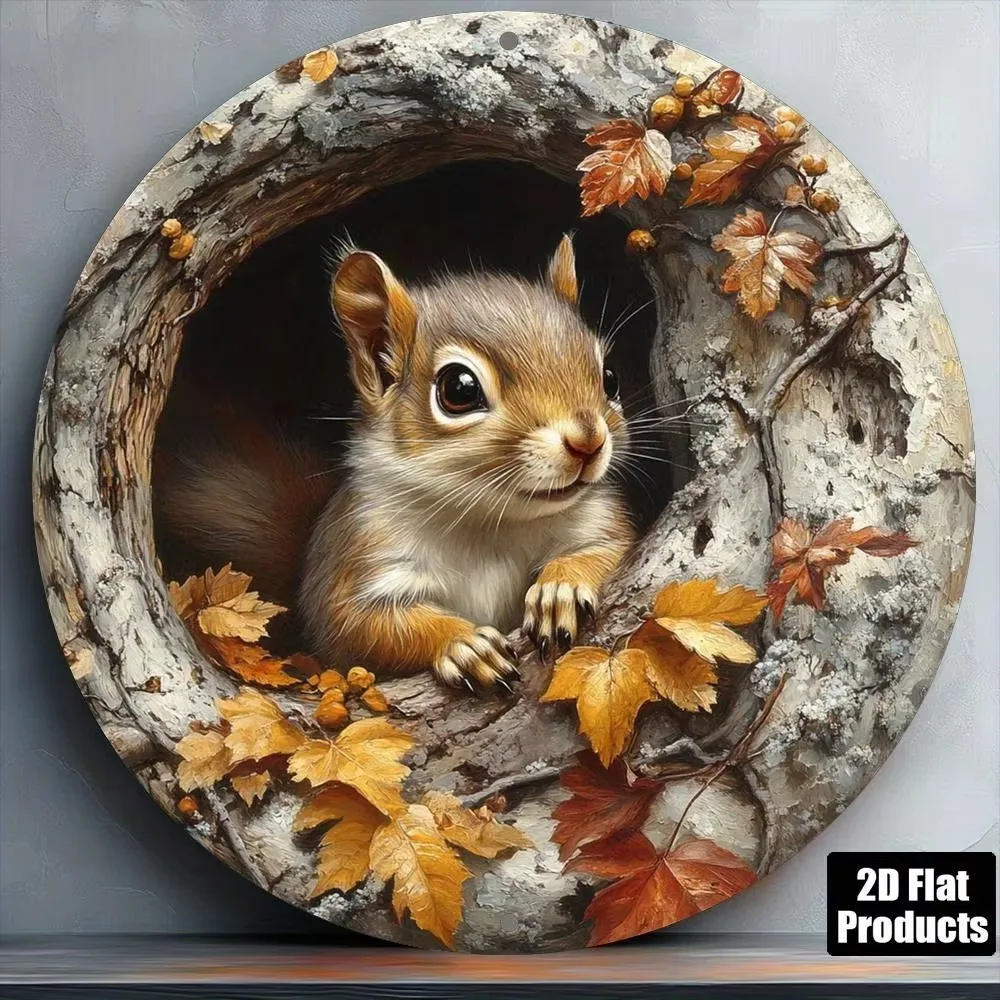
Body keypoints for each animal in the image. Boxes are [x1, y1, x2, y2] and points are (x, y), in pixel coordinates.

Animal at [157, 235, 634, 693]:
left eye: (610, 377)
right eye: (459, 389)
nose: (588, 441)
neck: (489, 521)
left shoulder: (597, 521)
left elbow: (611, 549)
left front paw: (562, 588)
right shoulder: (363, 553)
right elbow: (360, 625)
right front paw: (463, 644)